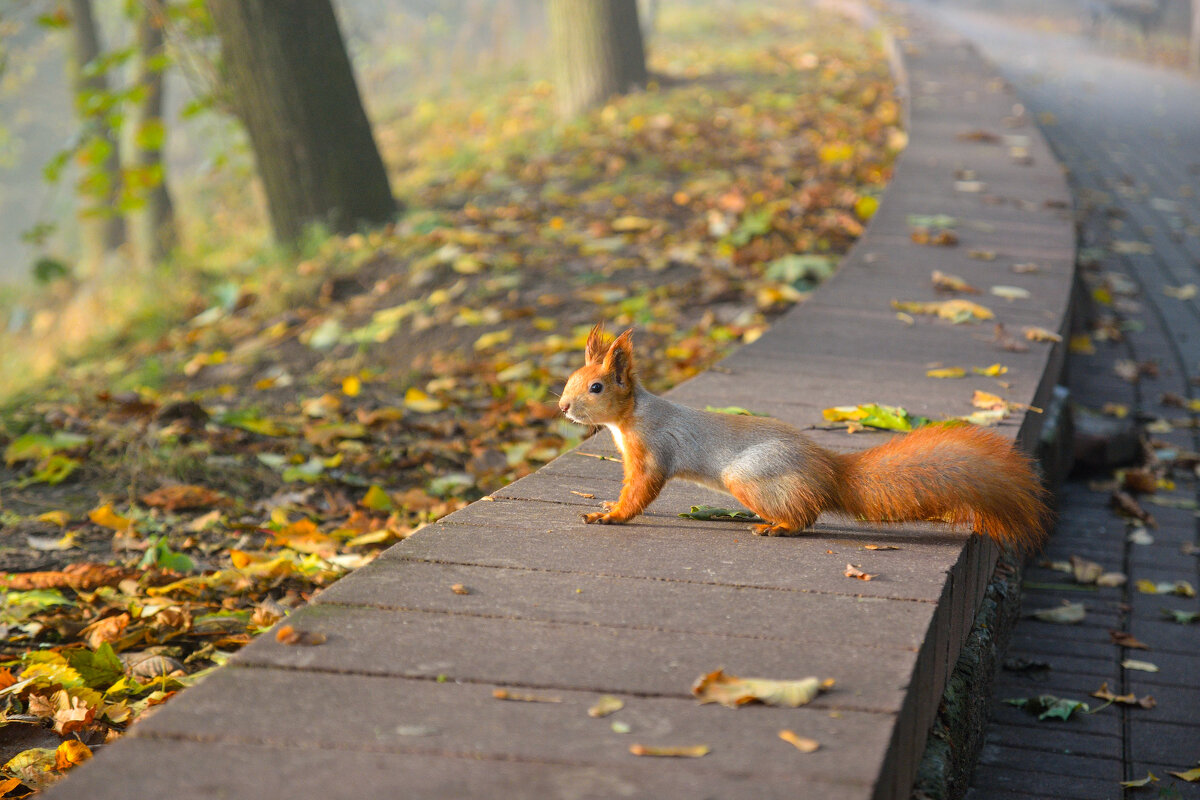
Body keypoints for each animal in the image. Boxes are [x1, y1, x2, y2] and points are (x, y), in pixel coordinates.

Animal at [556, 326, 1046, 551]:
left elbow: (642, 490)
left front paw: (610, 516)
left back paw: (776, 526)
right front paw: (606, 506)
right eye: (569, 379)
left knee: (805, 515)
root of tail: (829, 470)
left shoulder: (653, 450)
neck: (631, 418)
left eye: (596, 387)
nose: (561, 406)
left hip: (750, 476)